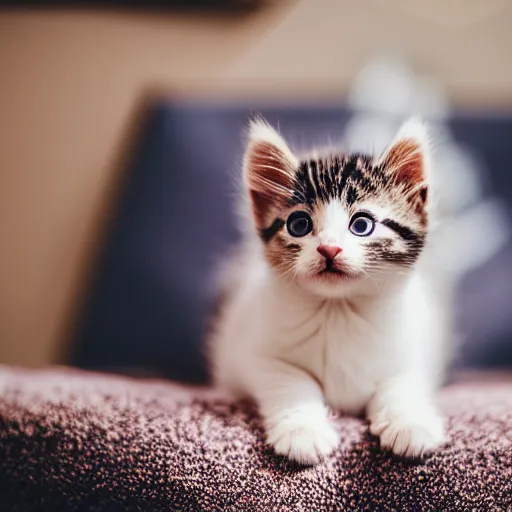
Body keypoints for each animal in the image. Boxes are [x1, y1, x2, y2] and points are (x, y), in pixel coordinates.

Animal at [208, 116, 448, 464]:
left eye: (361, 225)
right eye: (299, 225)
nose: (329, 249)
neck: (338, 311)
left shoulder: (416, 347)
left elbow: (401, 383)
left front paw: (410, 423)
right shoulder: (254, 350)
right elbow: (290, 381)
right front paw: (302, 431)